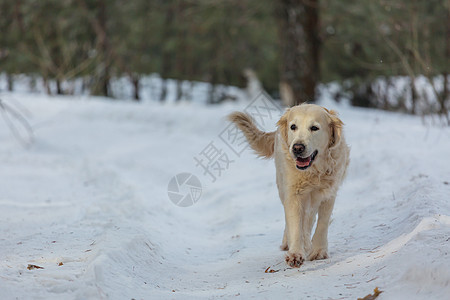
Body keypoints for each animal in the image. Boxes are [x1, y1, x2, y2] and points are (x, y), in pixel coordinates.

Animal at [230, 103, 350, 268]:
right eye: (293, 126)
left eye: (314, 128)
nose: (297, 148)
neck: (313, 171)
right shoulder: (293, 193)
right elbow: (295, 223)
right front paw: (296, 253)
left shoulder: (329, 192)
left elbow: (322, 222)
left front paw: (319, 251)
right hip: (282, 186)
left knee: (310, 218)